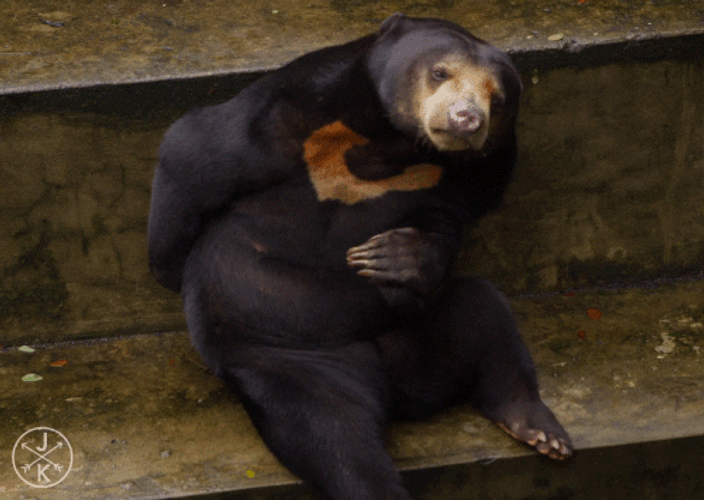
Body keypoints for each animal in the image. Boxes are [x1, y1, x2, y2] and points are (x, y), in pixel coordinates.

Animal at [148, 13, 572, 500]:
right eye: (440, 72)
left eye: (497, 98)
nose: (465, 120)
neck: (396, 139)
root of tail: (398, 393)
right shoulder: (291, 109)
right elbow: (195, 152)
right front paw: (168, 264)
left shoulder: (488, 166)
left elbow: (448, 219)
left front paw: (393, 257)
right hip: (286, 349)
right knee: (331, 435)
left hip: (414, 331)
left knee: (483, 314)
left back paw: (537, 428)